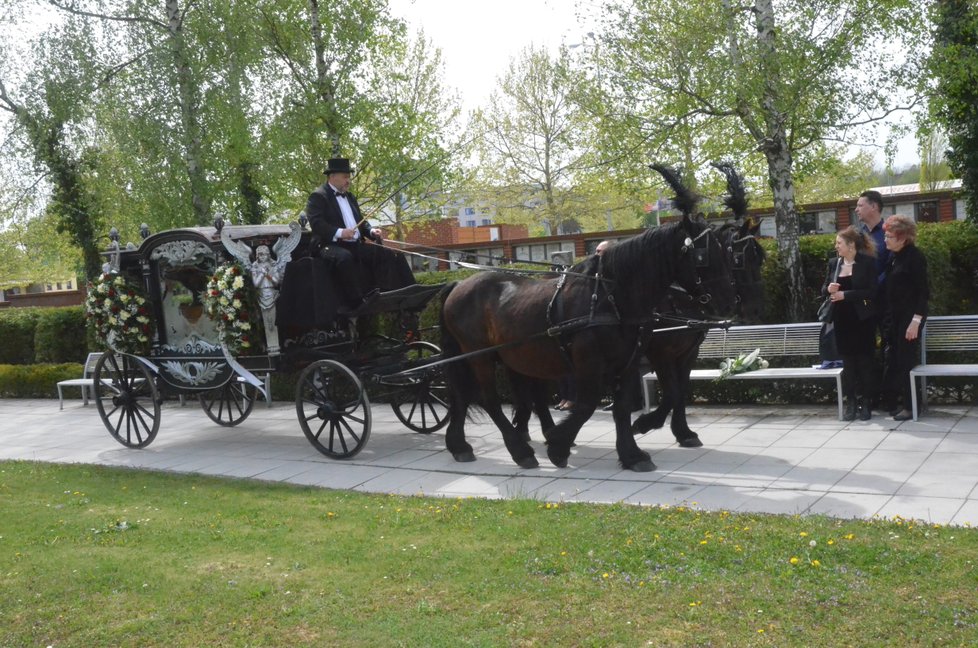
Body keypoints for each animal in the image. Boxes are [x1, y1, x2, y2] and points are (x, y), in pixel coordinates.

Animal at [440, 181, 732, 470]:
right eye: (703, 256)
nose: (725, 303)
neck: (610, 298)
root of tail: (458, 284)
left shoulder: (630, 361)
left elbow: (625, 405)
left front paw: (632, 454)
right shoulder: (596, 362)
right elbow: (588, 404)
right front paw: (558, 445)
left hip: (507, 356)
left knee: (470, 394)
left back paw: (461, 445)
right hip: (480, 356)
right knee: (488, 399)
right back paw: (519, 450)